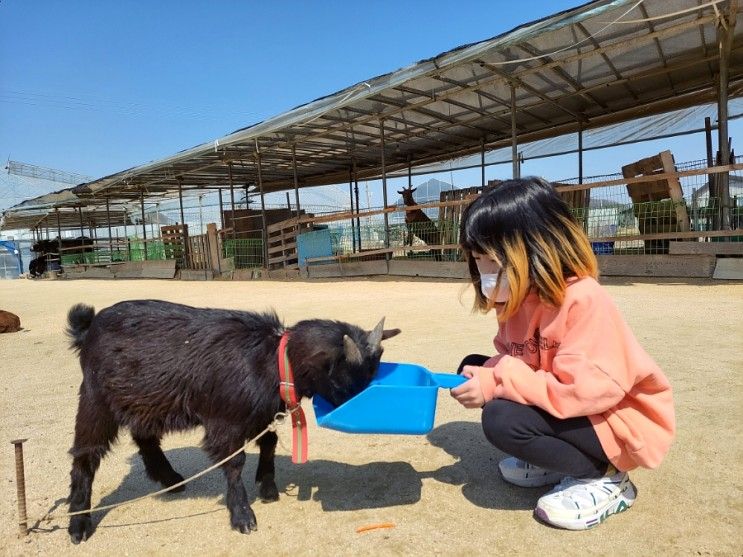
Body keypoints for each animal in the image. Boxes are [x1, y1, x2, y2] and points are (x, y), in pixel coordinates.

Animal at [65, 300, 402, 544]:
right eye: (346, 381)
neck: (270, 358)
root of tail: (88, 327)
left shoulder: (261, 414)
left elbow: (269, 441)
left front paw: (267, 486)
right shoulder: (224, 421)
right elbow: (234, 461)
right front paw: (242, 515)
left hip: (144, 401)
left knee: (144, 436)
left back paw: (170, 479)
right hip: (96, 401)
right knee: (85, 455)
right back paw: (78, 522)